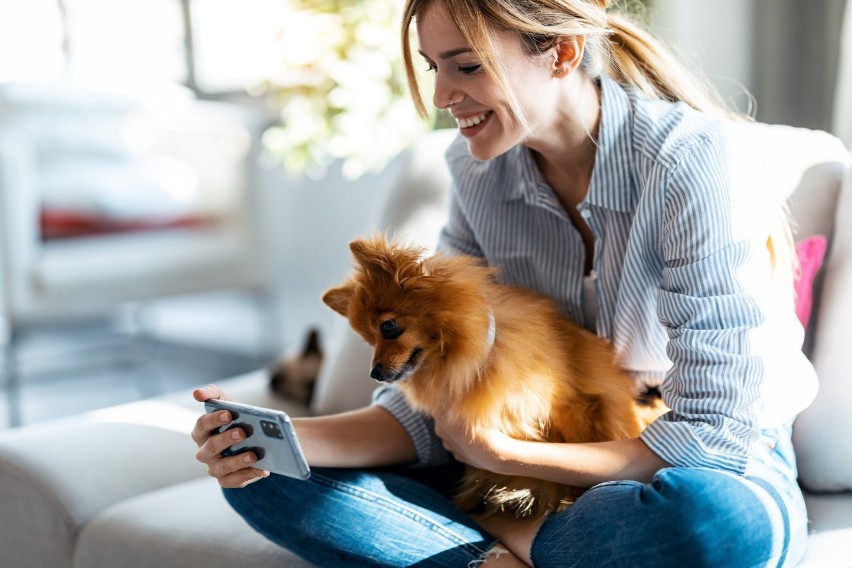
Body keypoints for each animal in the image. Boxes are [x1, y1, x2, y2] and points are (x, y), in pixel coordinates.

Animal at [322, 236, 664, 520]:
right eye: (369, 341)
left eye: (389, 327)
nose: (374, 372)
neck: (471, 359)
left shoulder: (578, 406)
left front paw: (571, 497)